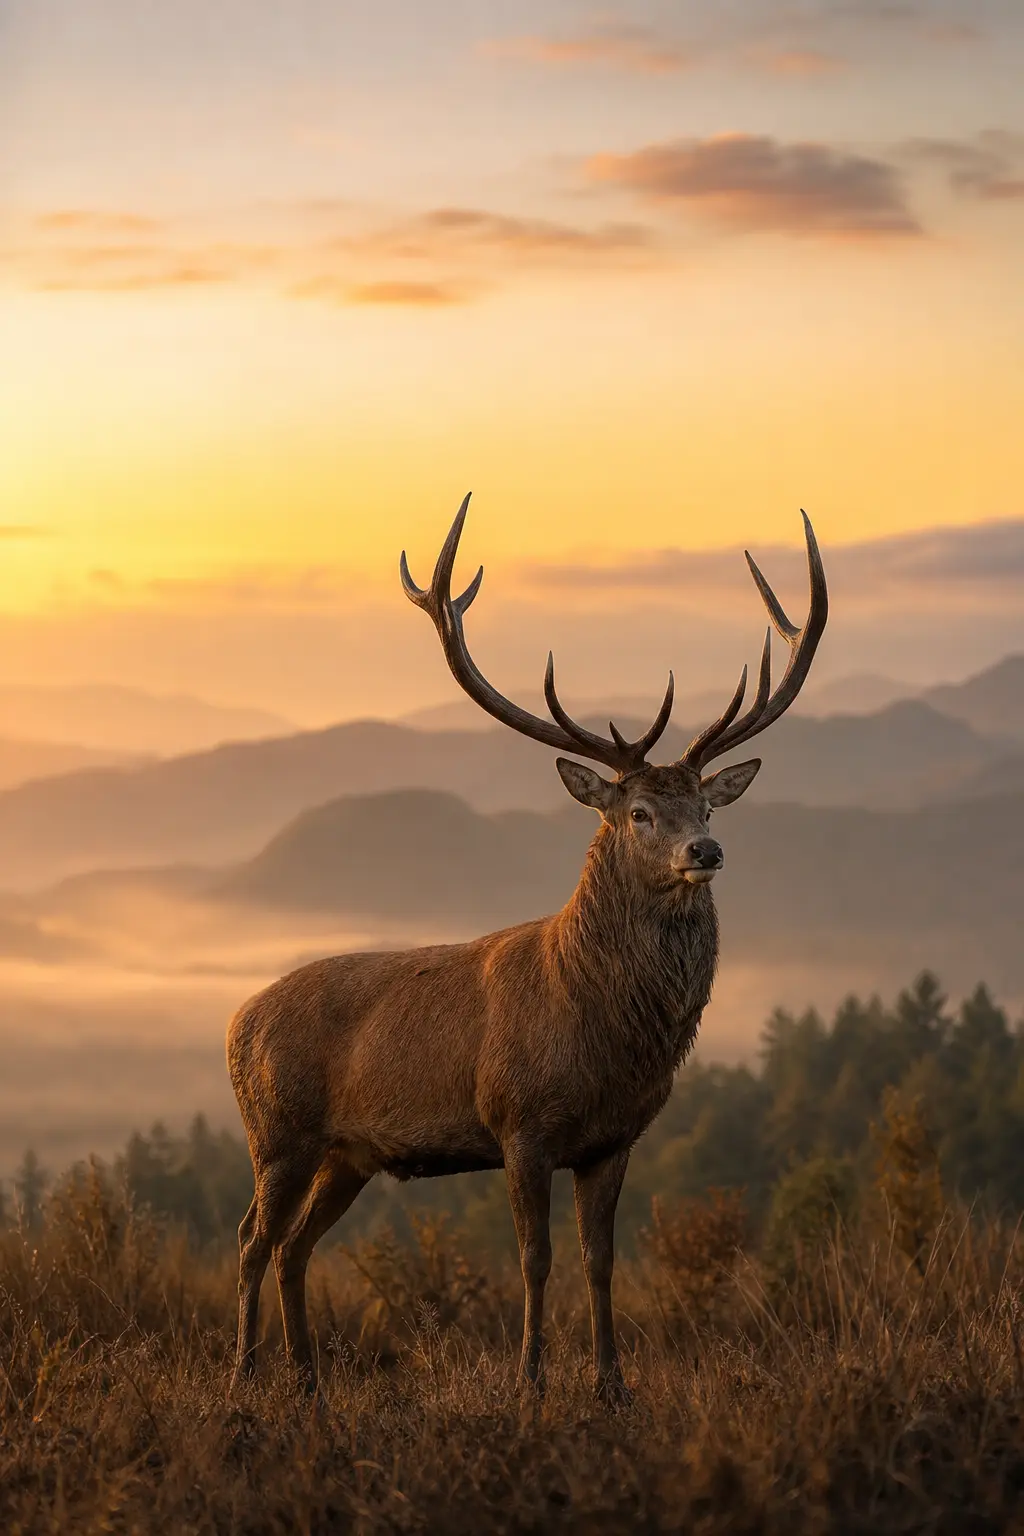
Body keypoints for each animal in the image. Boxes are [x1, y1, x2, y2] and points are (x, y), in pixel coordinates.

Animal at [227, 493, 828, 1402]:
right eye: (637, 813)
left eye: (706, 806)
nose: (706, 851)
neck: (603, 1034)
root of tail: (234, 1024)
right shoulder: (519, 1124)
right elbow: (535, 1259)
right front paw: (531, 1379)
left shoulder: (613, 1139)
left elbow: (601, 1260)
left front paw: (613, 1384)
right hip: (278, 1130)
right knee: (252, 1239)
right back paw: (242, 1376)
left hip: (348, 1153)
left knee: (295, 1245)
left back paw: (306, 1381)